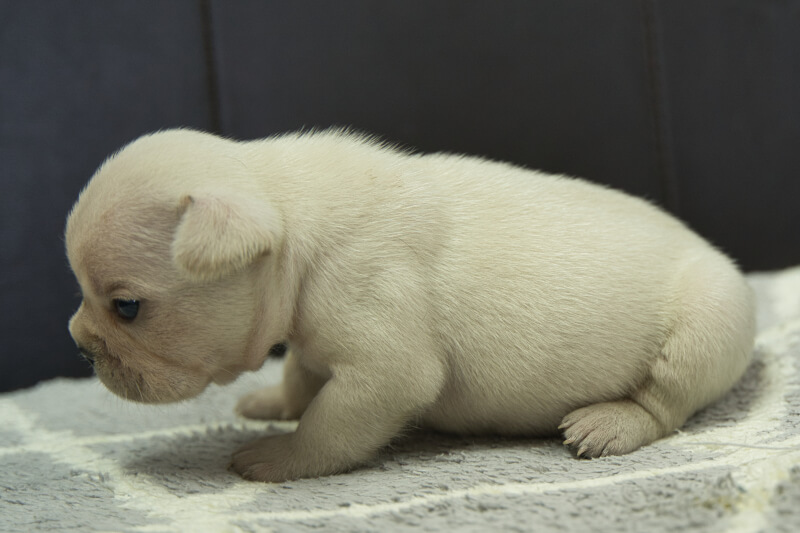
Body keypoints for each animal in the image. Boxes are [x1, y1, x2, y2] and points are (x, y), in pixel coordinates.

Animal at [64, 130, 756, 482]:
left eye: (126, 307)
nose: (79, 342)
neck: (290, 215)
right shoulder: (312, 341)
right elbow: (302, 376)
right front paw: (273, 403)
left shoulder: (384, 367)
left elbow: (331, 423)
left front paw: (279, 457)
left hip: (706, 325)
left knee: (665, 402)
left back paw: (609, 423)